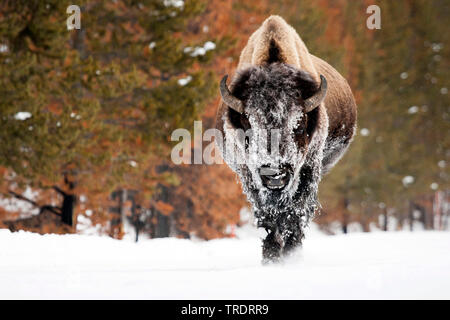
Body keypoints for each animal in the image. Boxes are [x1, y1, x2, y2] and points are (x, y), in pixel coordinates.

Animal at [216, 15, 356, 262]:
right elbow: (269, 218)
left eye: (298, 125)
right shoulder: (249, 174)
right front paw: (271, 257)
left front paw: (291, 255)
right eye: (248, 124)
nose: (274, 174)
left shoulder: (308, 169)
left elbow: (294, 214)